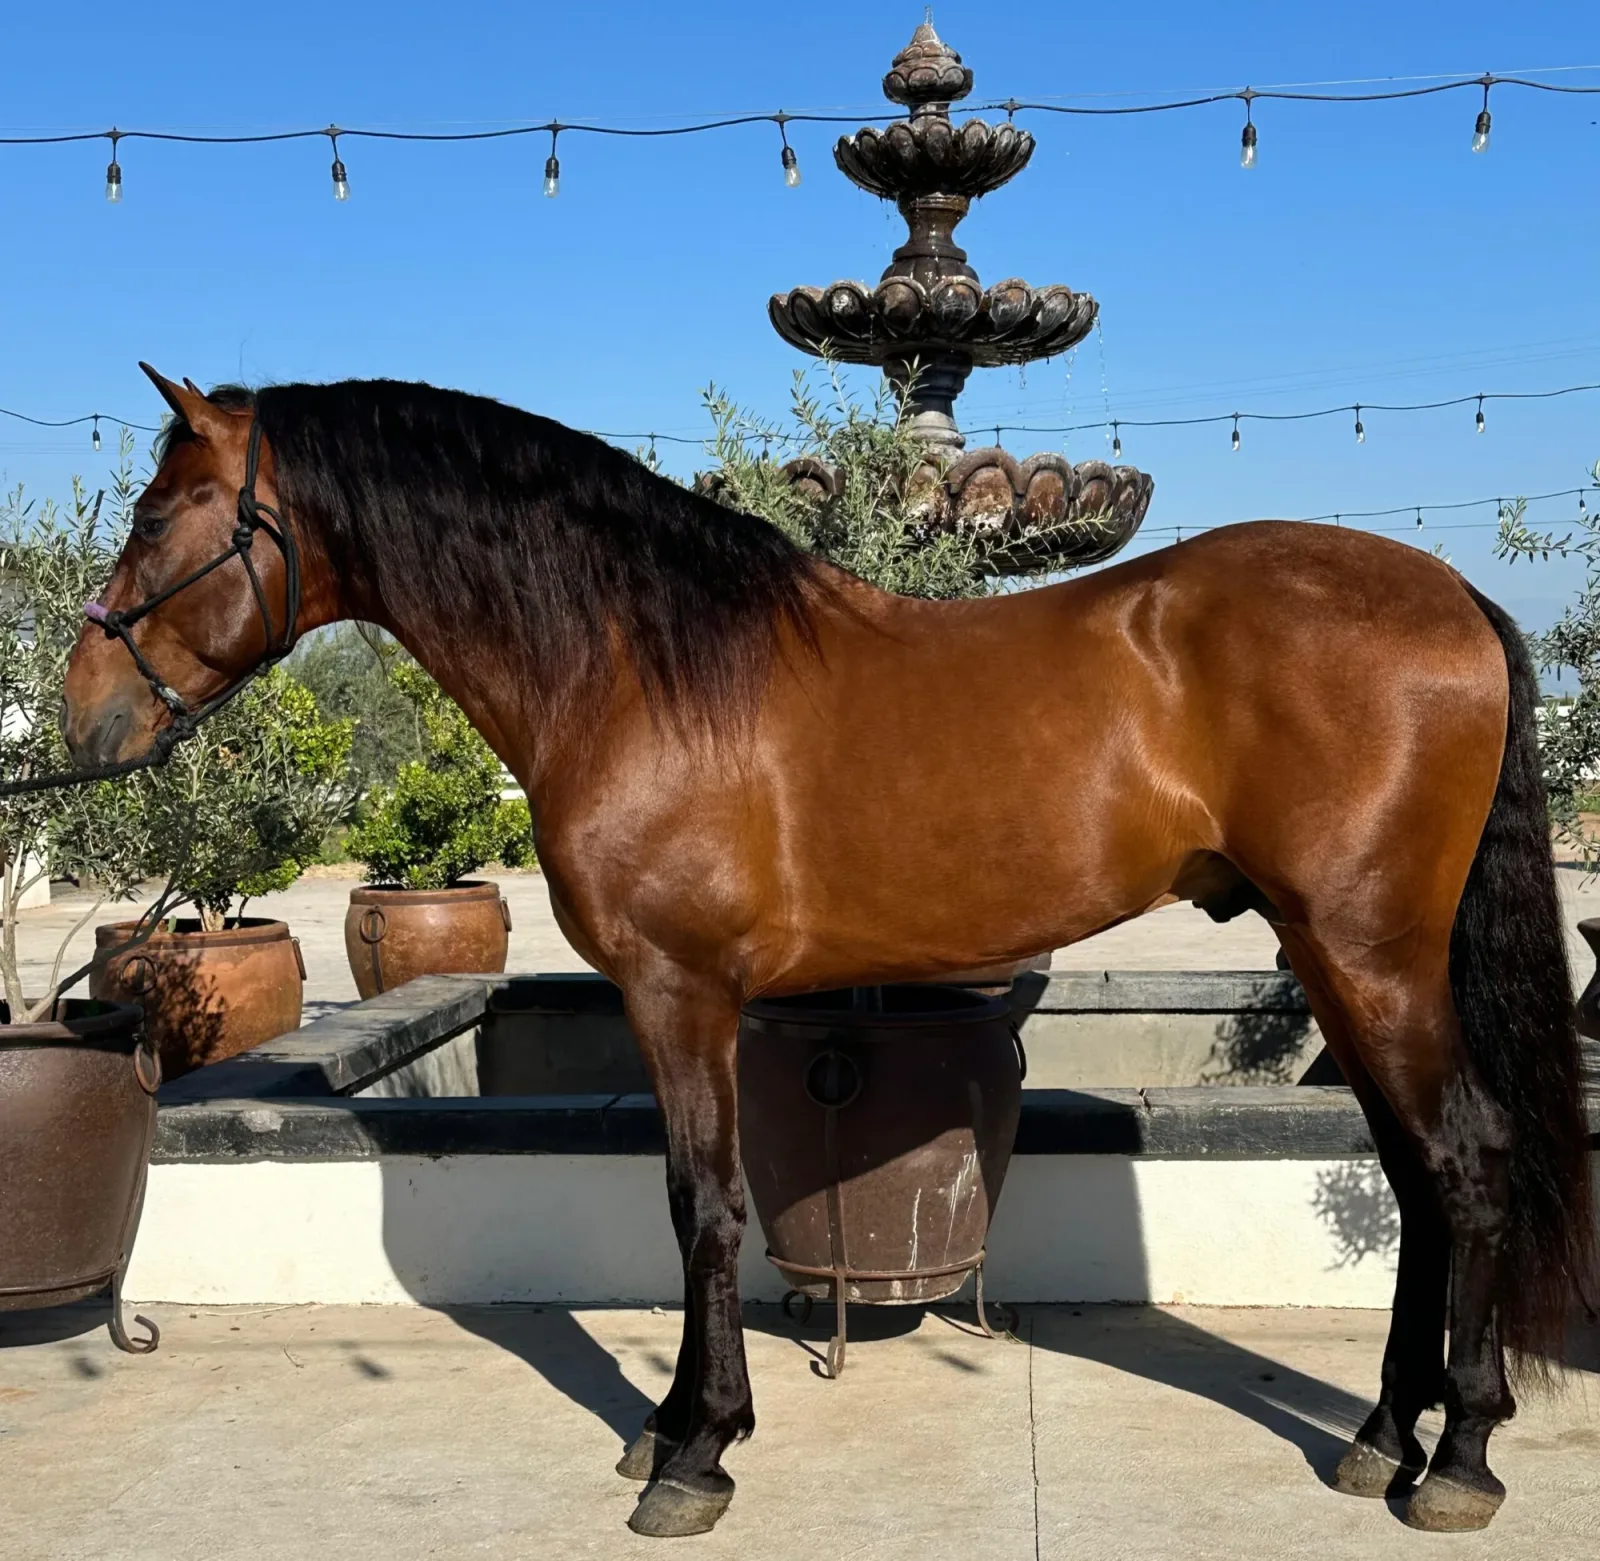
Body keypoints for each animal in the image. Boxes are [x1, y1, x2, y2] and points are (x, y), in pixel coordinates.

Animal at [62, 367, 1594, 1538]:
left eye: (158, 513)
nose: (80, 716)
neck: (635, 666)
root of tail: (1452, 597)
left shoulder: (679, 993)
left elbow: (704, 1206)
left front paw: (694, 1453)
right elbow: (700, 1204)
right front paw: (675, 1423)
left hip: (1370, 953)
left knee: (1463, 1160)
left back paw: (1456, 1461)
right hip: (1342, 958)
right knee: (1413, 1174)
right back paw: (1383, 1432)